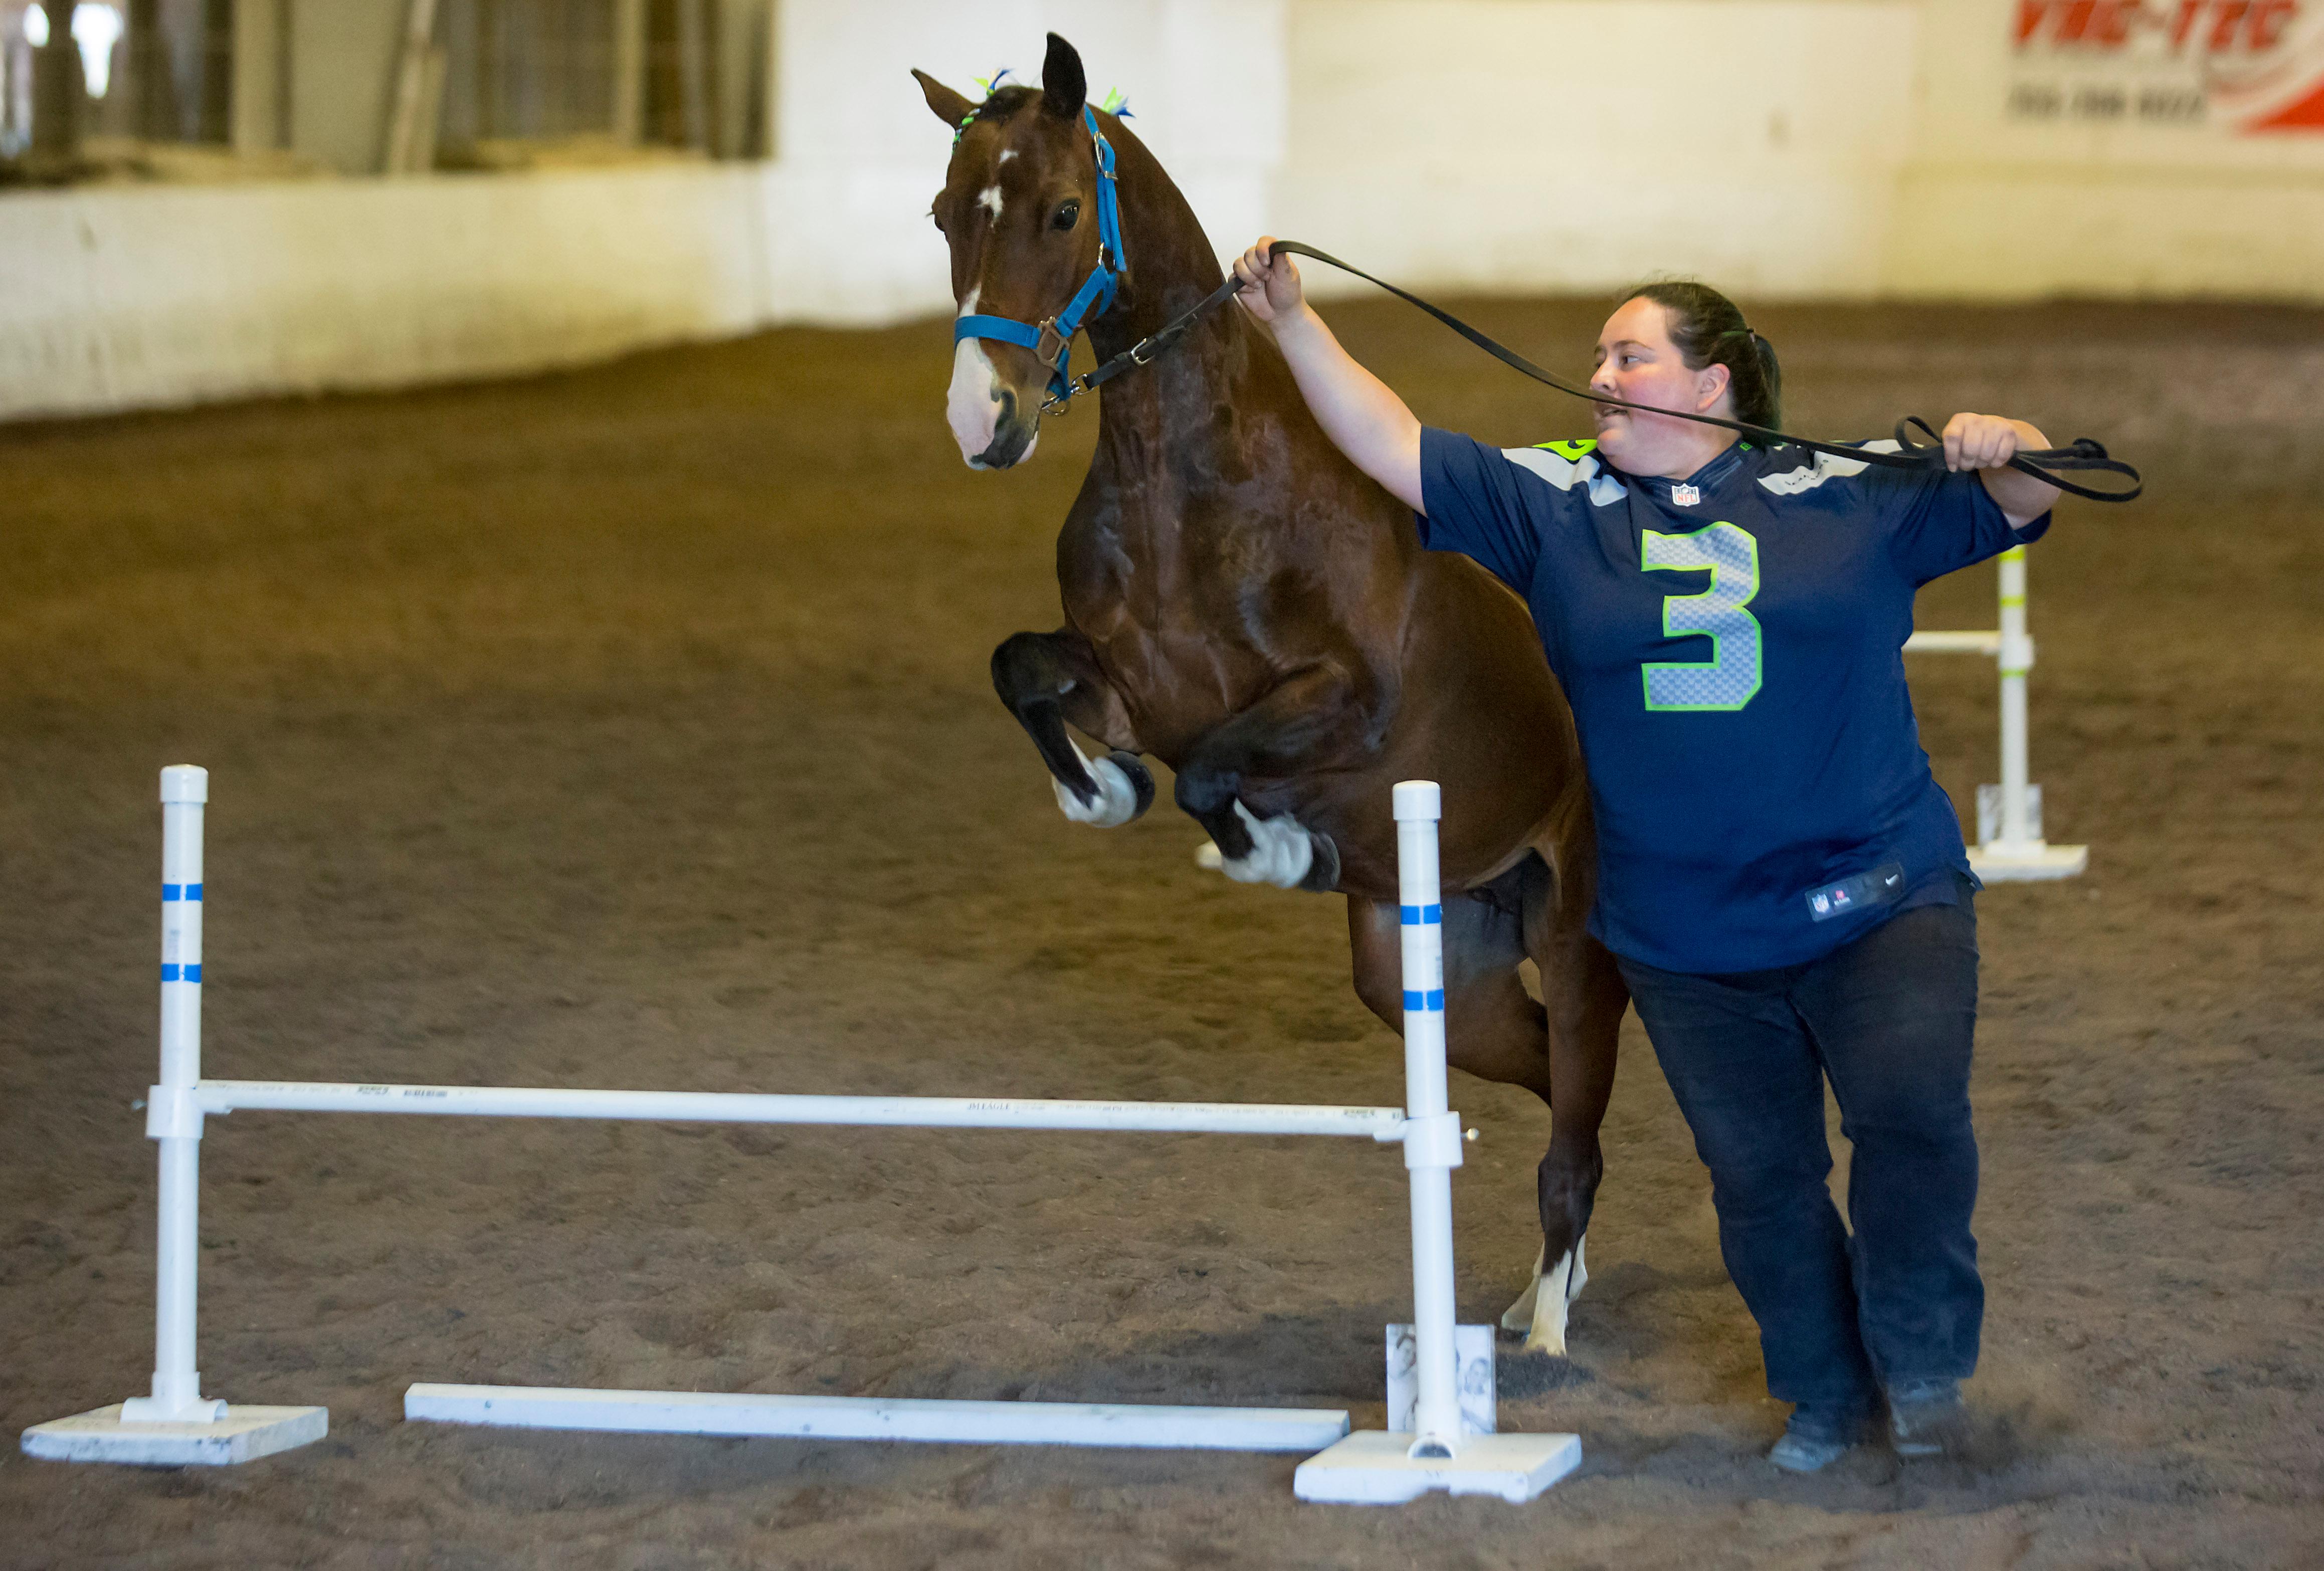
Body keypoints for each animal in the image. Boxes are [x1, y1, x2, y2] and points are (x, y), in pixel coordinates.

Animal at [912, 34, 1631, 1355]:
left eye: (1060, 210)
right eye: (944, 213)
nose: (980, 419)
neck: (1191, 486)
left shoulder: (1344, 702)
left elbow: (1216, 772)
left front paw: (1276, 848)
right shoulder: (1135, 687)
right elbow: (1023, 669)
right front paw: (1100, 792)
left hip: (1575, 943)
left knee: (1576, 1132)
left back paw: (1549, 1322)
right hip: (1437, 977)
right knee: (1553, 1082)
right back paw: (1535, 1291)